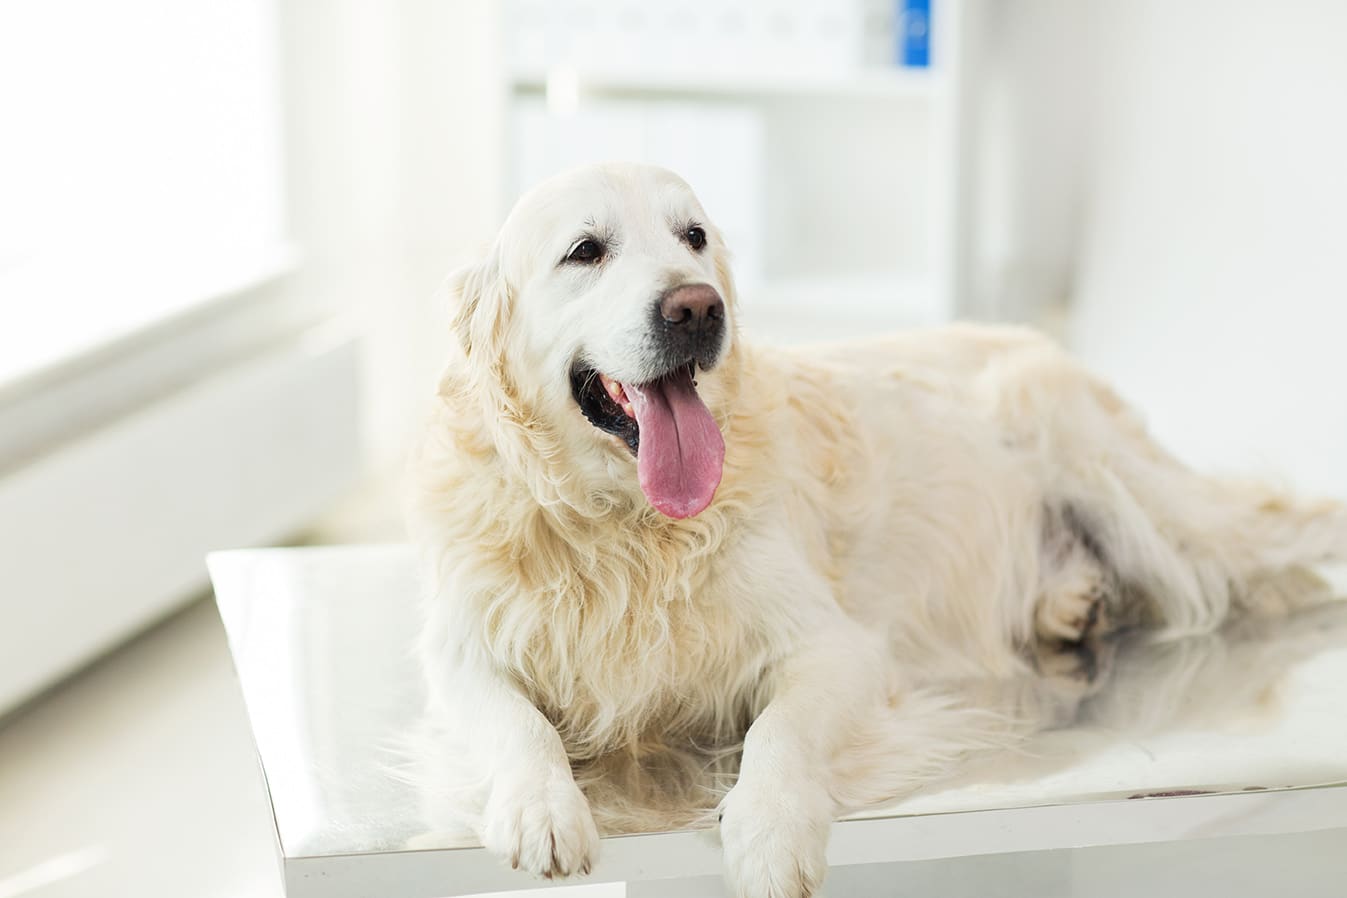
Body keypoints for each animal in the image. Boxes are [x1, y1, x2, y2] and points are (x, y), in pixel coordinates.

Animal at [409, 163, 1347, 898]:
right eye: (585, 251)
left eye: (693, 237)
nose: (696, 309)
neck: (625, 526)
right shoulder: (461, 652)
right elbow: (517, 724)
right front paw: (541, 807)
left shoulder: (837, 648)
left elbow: (778, 732)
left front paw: (770, 829)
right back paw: (1075, 602)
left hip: (1145, 499)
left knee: (1280, 540)